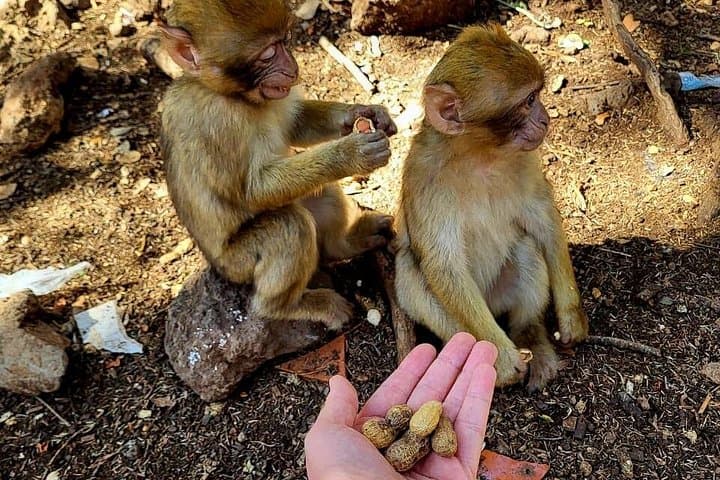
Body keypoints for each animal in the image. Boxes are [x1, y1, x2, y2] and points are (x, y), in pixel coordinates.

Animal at [158, 0, 397, 331]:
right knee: (289, 224)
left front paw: (366, 113)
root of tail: (217, 266)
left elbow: (296, 123)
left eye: (286, 40)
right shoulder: (217, 123)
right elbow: (252, 192)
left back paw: (345, 244)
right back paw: (287, 306)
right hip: (238, 264)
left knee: (319, 192)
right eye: (268, 53)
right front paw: (351, 154)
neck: (235, 98)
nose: (292, 68)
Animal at [394, 25, 588, 392]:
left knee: (527, 248)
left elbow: (544, 221)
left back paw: (530, 335)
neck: (479, 156)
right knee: (411, 275)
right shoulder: (425, 179)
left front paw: (571, 315)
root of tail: (492, 306)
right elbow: (443, 266)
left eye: (538, 95)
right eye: (528, 101)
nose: (545, 119)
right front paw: (503, 356)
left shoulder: (525, 160)